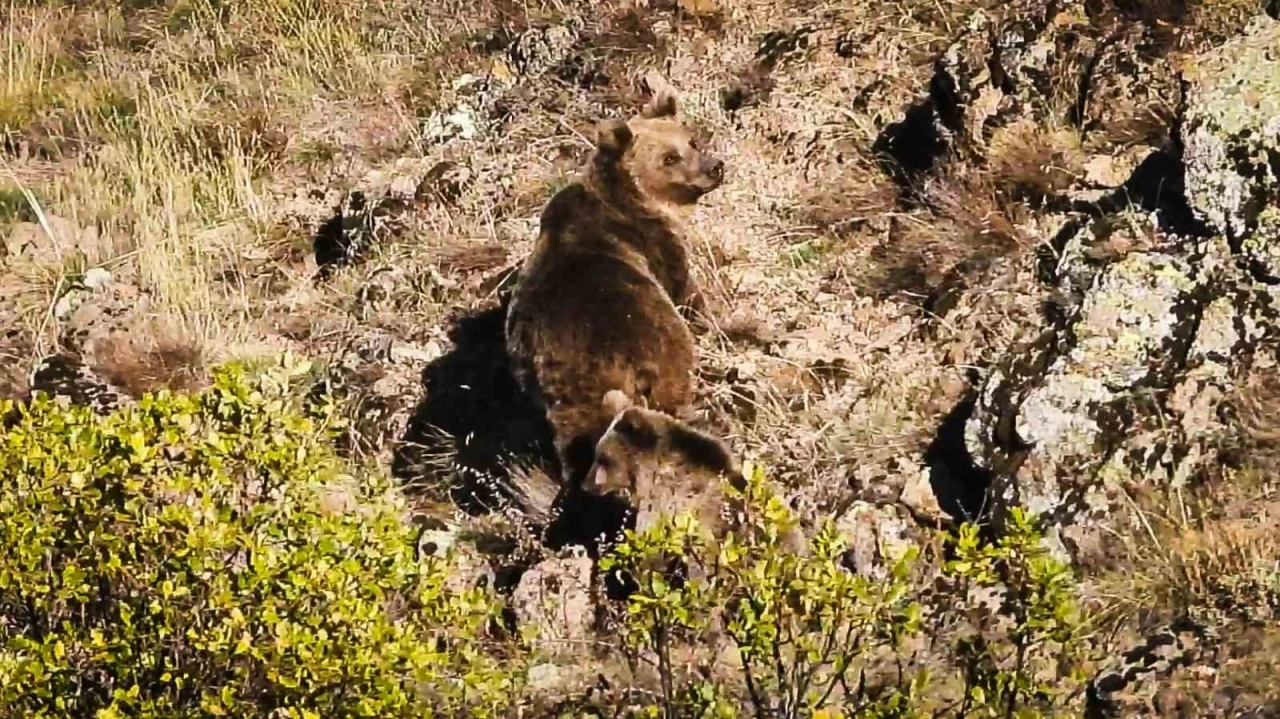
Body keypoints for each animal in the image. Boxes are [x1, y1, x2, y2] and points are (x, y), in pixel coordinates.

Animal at [509, 81, 732, 488]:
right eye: (669, 158)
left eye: (691, 140)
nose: (714, 167)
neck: (631, 198)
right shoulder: (655, 245)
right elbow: (687, 291)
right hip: (655, 342)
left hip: (562, 400)